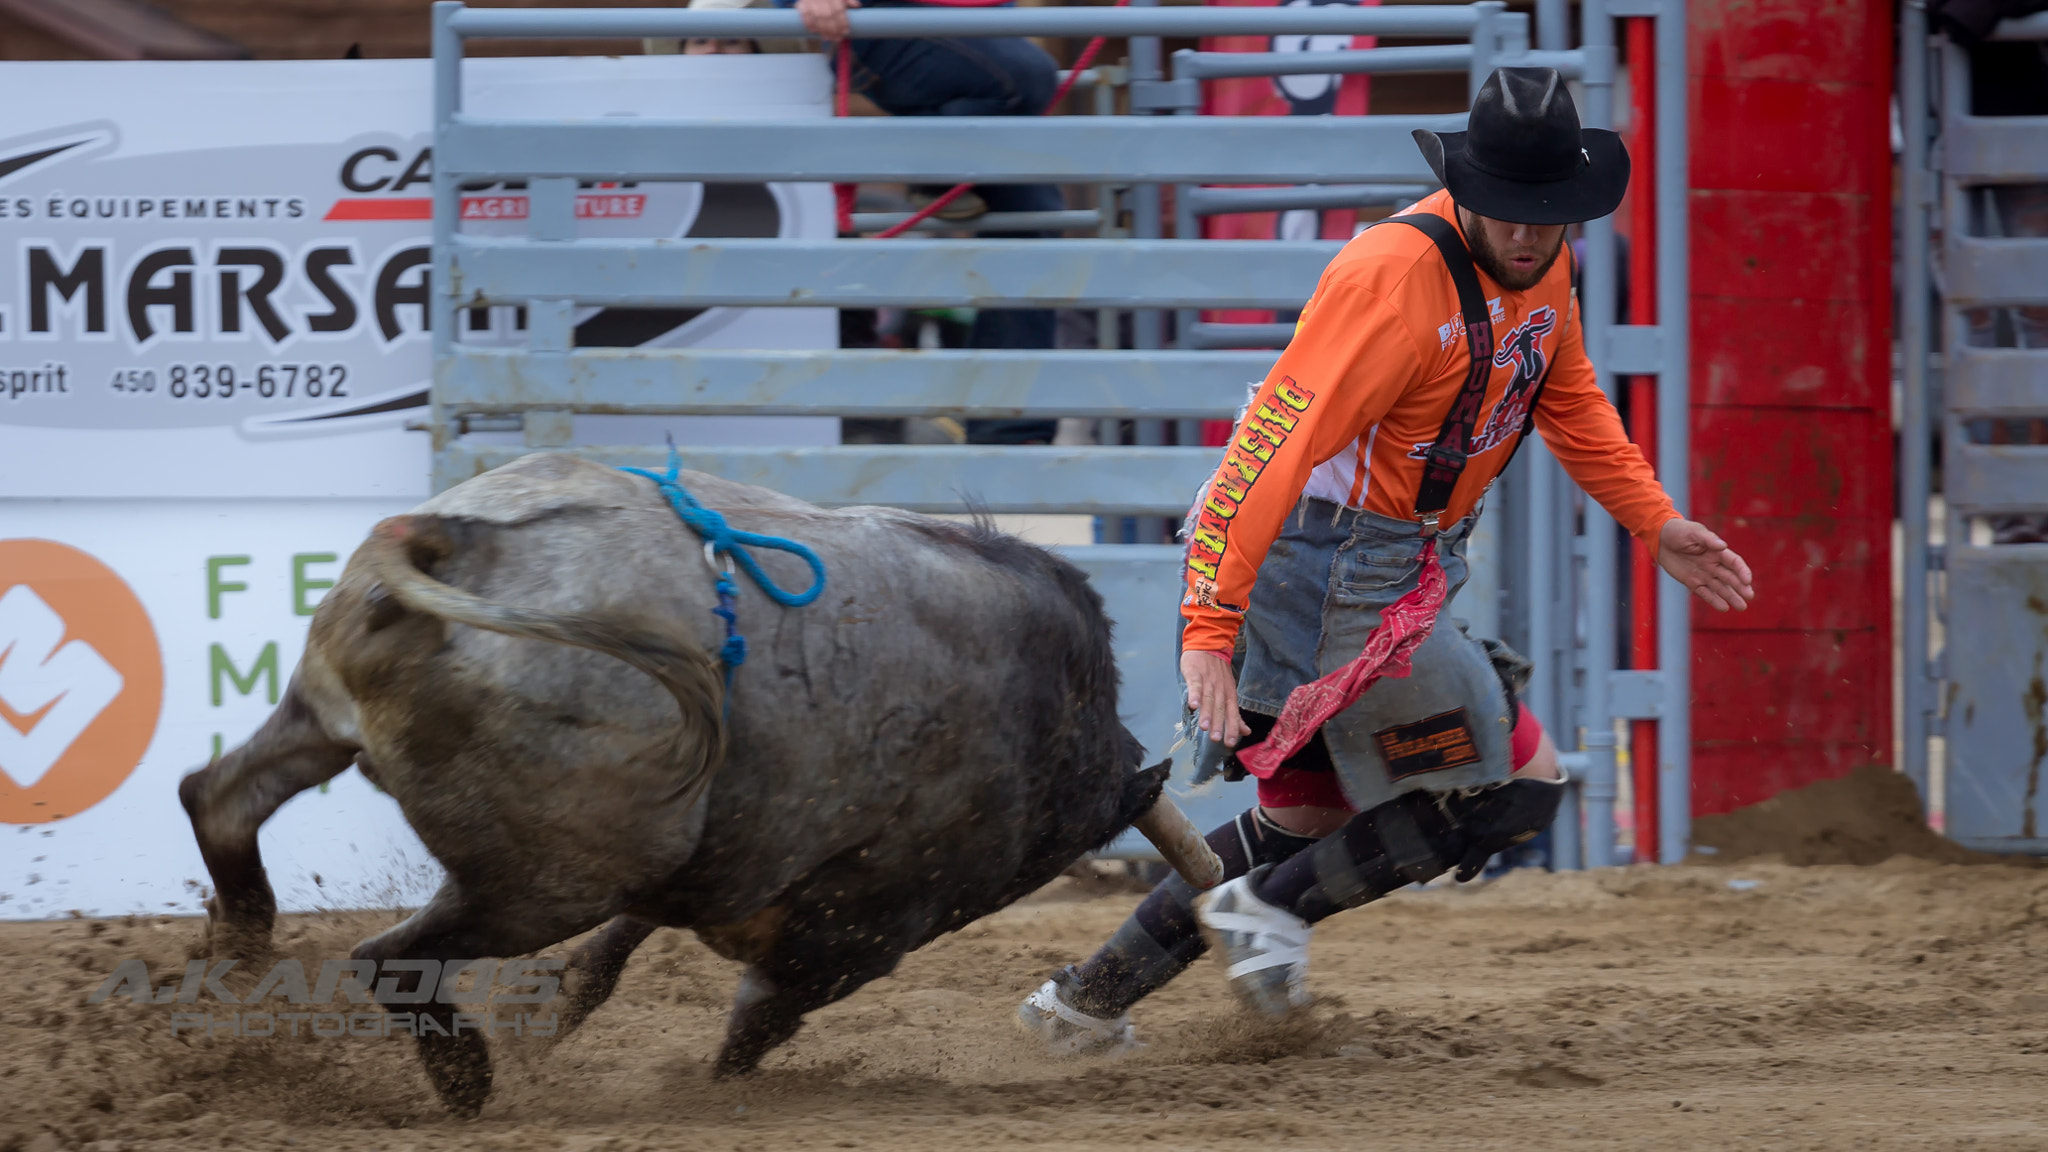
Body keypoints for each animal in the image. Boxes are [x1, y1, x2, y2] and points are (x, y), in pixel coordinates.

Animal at [180, 450, 1212, 1115]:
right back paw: (463, 1076)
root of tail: (452, 538)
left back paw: (237, 956)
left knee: (216, 801)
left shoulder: (708, 870)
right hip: (543, 883)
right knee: (385, 956)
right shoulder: (853, 927)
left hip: (329, 730)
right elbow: (761, 1013)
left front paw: (553, 1014)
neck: (1054, 725)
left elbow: (610, 960)